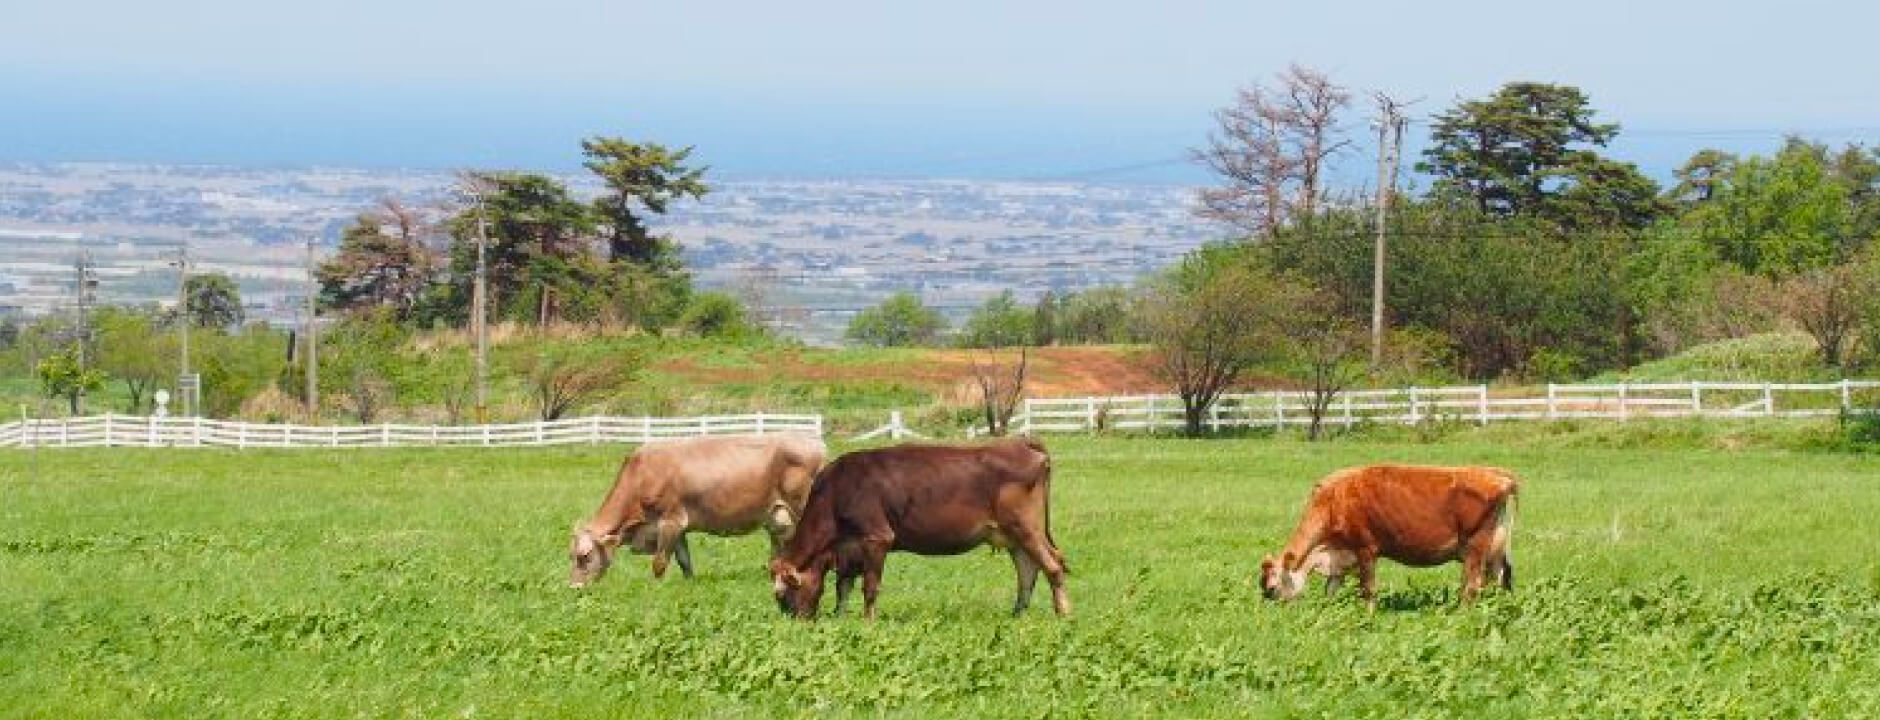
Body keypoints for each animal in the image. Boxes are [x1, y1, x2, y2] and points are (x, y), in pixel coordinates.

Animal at [560, 432, 819, 590]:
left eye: (585, 555)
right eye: (571, 556)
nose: (574, 588)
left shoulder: (670, 521)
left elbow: (659, 562)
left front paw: (655, 588)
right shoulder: (679, 529)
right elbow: (684, 560)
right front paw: (689, 585)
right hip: (776, 516)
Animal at [767, 439, 1067, 620]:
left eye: (783, 595)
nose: (795, 622)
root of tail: (1021, 444)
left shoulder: (877, 537)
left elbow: (870, 586)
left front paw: (867, 622)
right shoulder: (848, 548)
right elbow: (844, 585)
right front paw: (840, 617)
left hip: (1025, 526)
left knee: (1053, 565)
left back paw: (1063, 614)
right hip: (1013, 535)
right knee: (1028, 569)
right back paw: (1017, 614)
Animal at [1255, 462, 1519, 609]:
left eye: (1271, 588)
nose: (1274, 617)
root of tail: (1497, 475)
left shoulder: (1365, 548)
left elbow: (1368, 589)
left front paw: (1368, 618)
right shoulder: (1340, 556)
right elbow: (1330, 591)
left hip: (1476, 546)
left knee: (1472, 586)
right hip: (1495, 548)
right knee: (1499, 580)